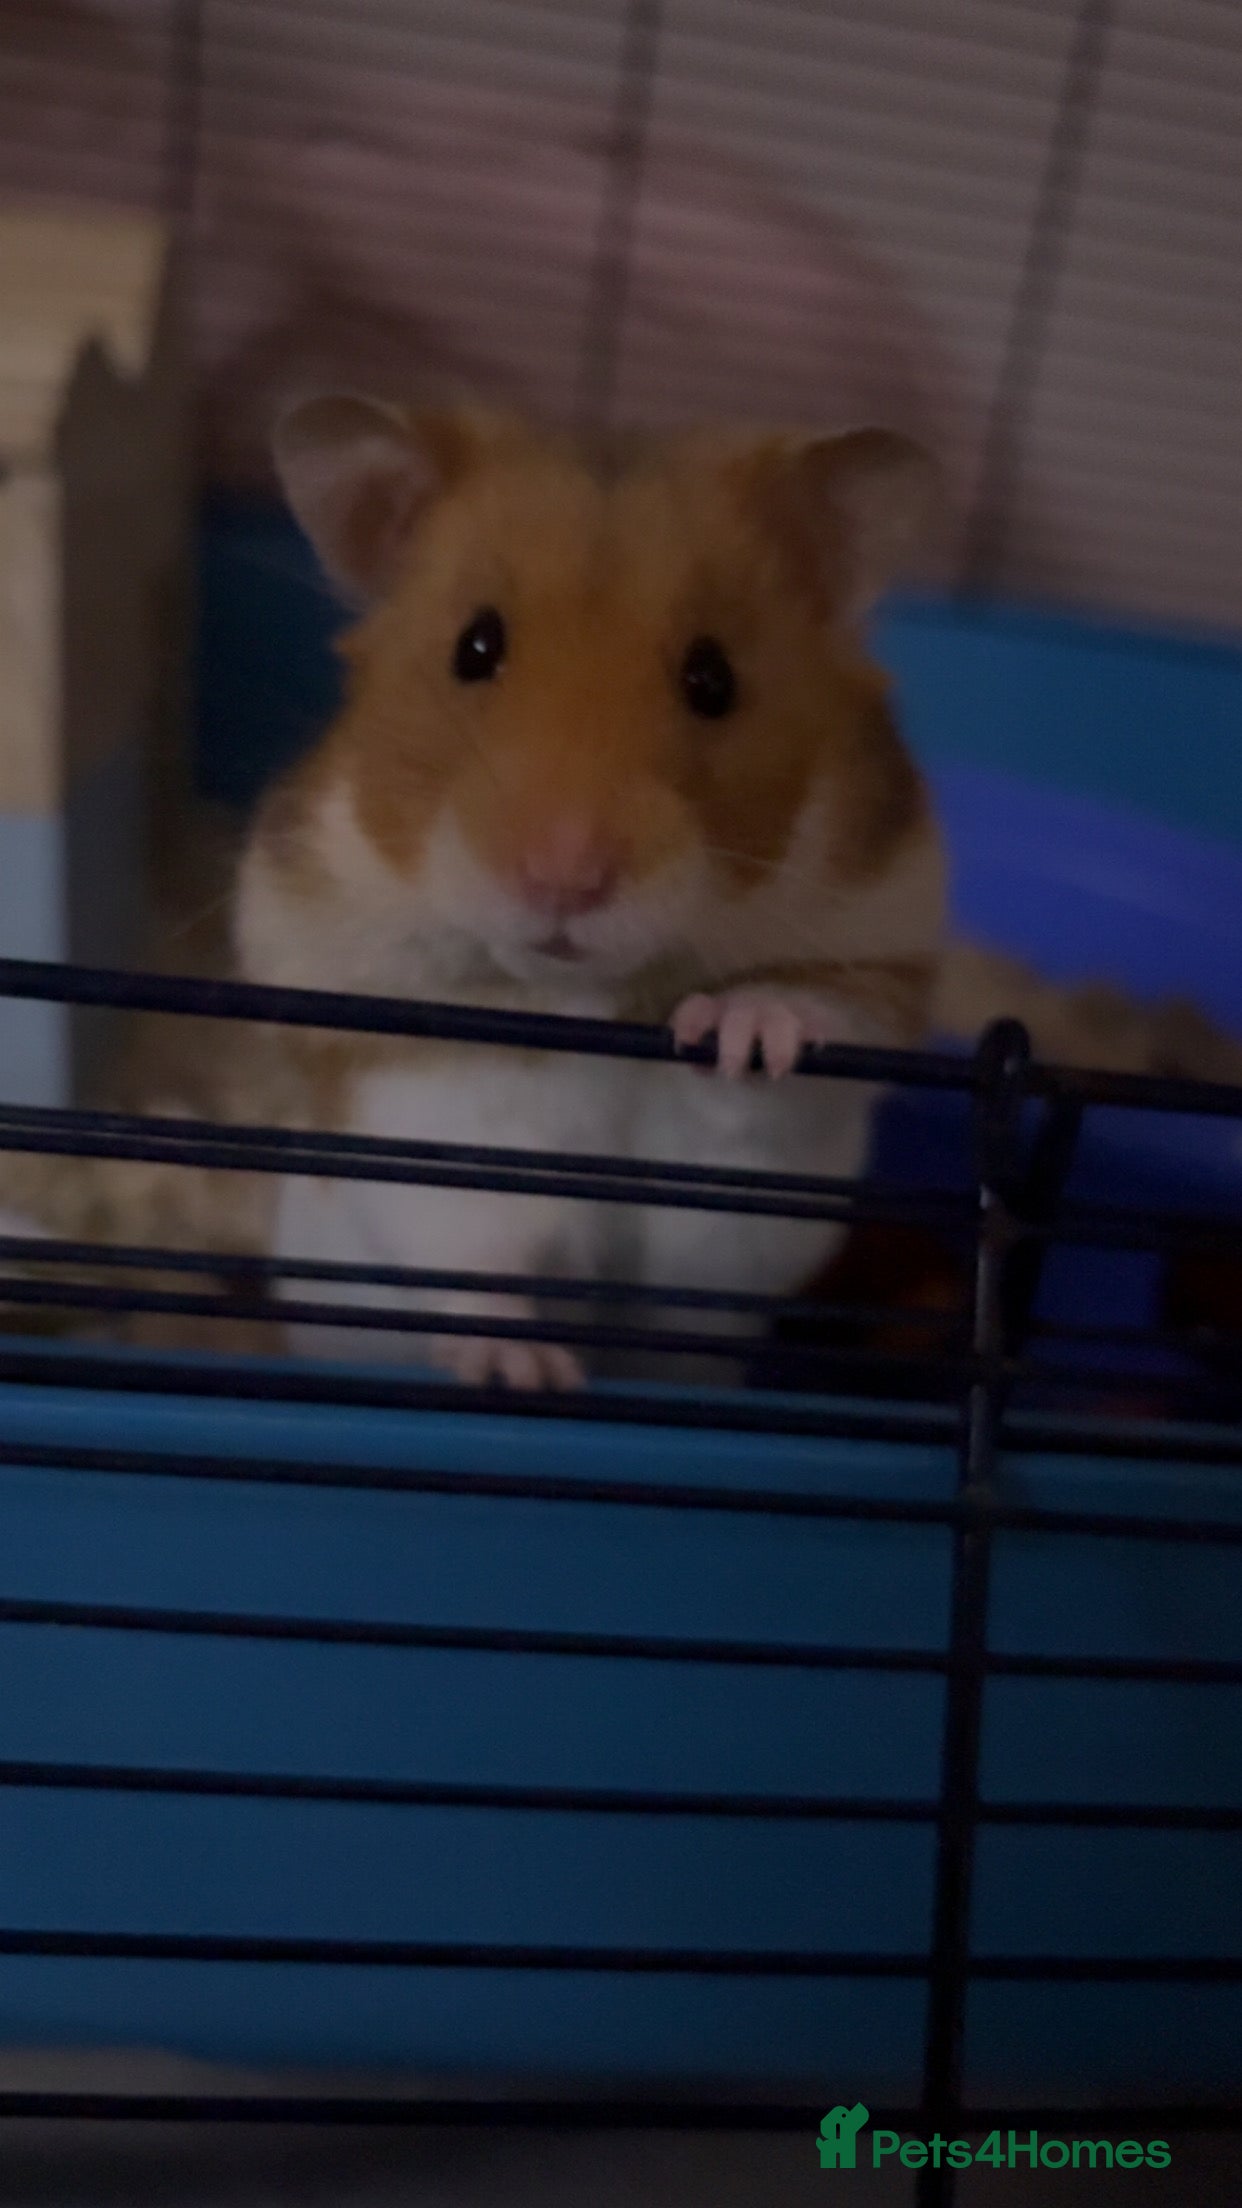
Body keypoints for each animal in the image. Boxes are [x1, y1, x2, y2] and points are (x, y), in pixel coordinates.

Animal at [233, 396, 947, 1387]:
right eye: (475, 647)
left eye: (713, 676)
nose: (564, 875)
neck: (594, 994)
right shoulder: (425, 1093)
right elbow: (471, 1250)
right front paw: (522, 1372)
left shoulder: (872, 963)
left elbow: (801, 1027)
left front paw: (734, 1031)